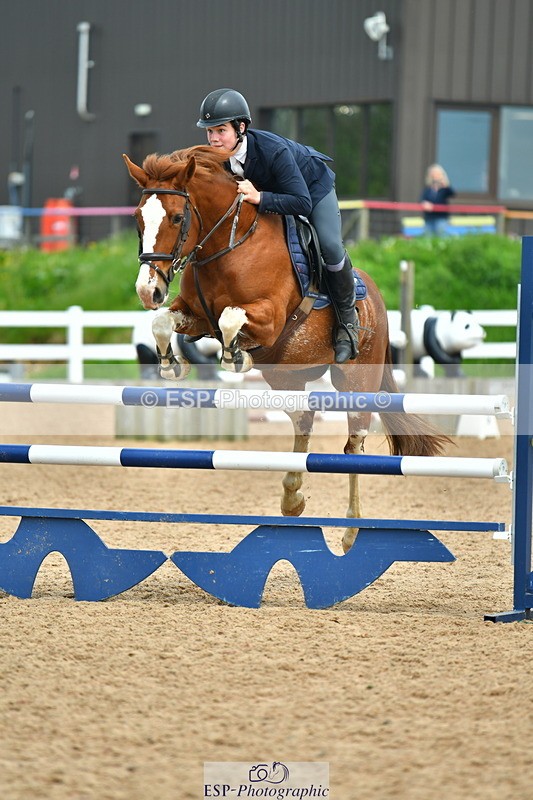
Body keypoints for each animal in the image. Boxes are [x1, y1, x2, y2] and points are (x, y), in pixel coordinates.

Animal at [124, 146, 450, 552]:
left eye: (177, 217)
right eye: (139, 218)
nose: (147, 290)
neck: (225, 245)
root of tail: (376, 297)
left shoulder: (269, 318)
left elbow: (230, 318)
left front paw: (235, 355)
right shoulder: (195, 315)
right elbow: (162, 322)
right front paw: (172, 363)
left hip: (356, 380)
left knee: (353, 447)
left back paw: (350, 532)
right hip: (285, 375)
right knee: (304, 419)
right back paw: (292, 498)